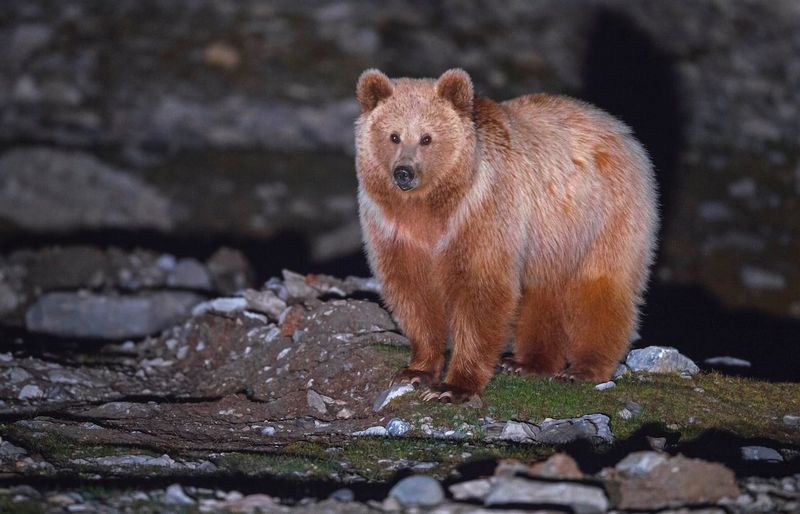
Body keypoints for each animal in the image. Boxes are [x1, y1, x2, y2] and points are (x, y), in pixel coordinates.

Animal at [354, 67, 656, 400]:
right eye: (393, 136)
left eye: (426, 138)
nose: (404, 173)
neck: (432, 208)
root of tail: (621, 129)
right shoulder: (394, 230)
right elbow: (413, 292)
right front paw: (416, 371)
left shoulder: (483, 213)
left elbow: (482, 291)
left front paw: (453, 387)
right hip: (550, 240)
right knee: (543, 293)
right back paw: (528, 363)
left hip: (601, 216)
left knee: (599, 286)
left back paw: (583, 369)